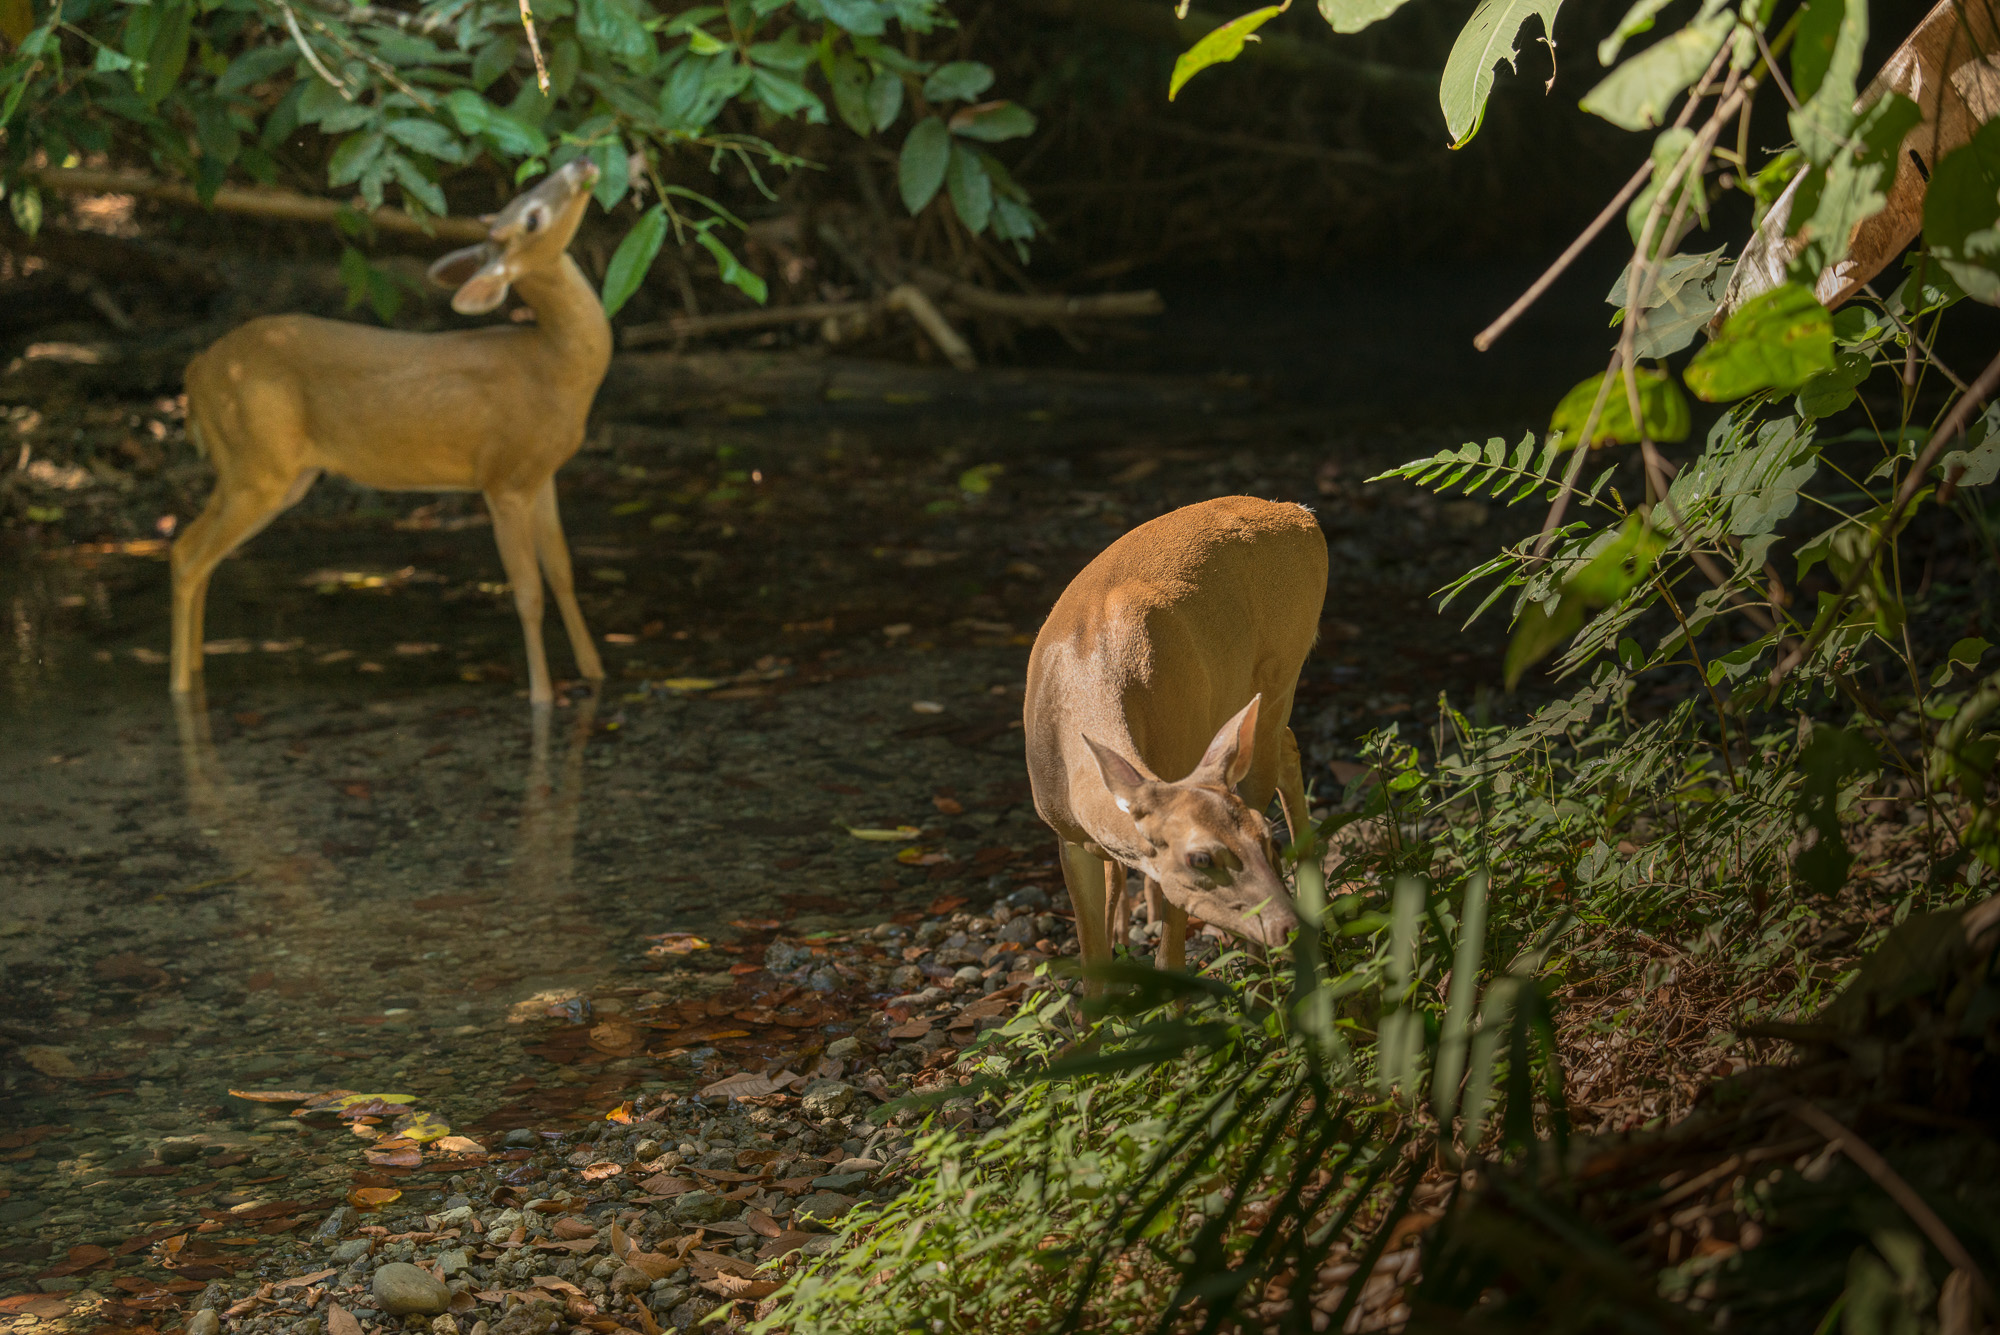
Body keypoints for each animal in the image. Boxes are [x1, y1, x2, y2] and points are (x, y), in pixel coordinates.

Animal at [171, 157, 608, 707]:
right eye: (530, 217)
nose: (582, 161)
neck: (554, 367)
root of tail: (196, 370)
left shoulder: (543, 473)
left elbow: (563, 572)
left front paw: (596, 673)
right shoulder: (502, 477)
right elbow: (528, 591)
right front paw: (543, 696)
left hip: (266, 471)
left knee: (191, 551)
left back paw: (195, 670)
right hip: (255, 463)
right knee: (189, 556)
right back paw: (179, 688)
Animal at [1032, 495, 1328, 987]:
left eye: (1266, 837)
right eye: (1200, 858)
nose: (1285, 926)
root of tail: (1301, 514)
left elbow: (1170, 963)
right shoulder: (1067, 836)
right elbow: (1093, 971)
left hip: (1282, 674)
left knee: (1281, 749)